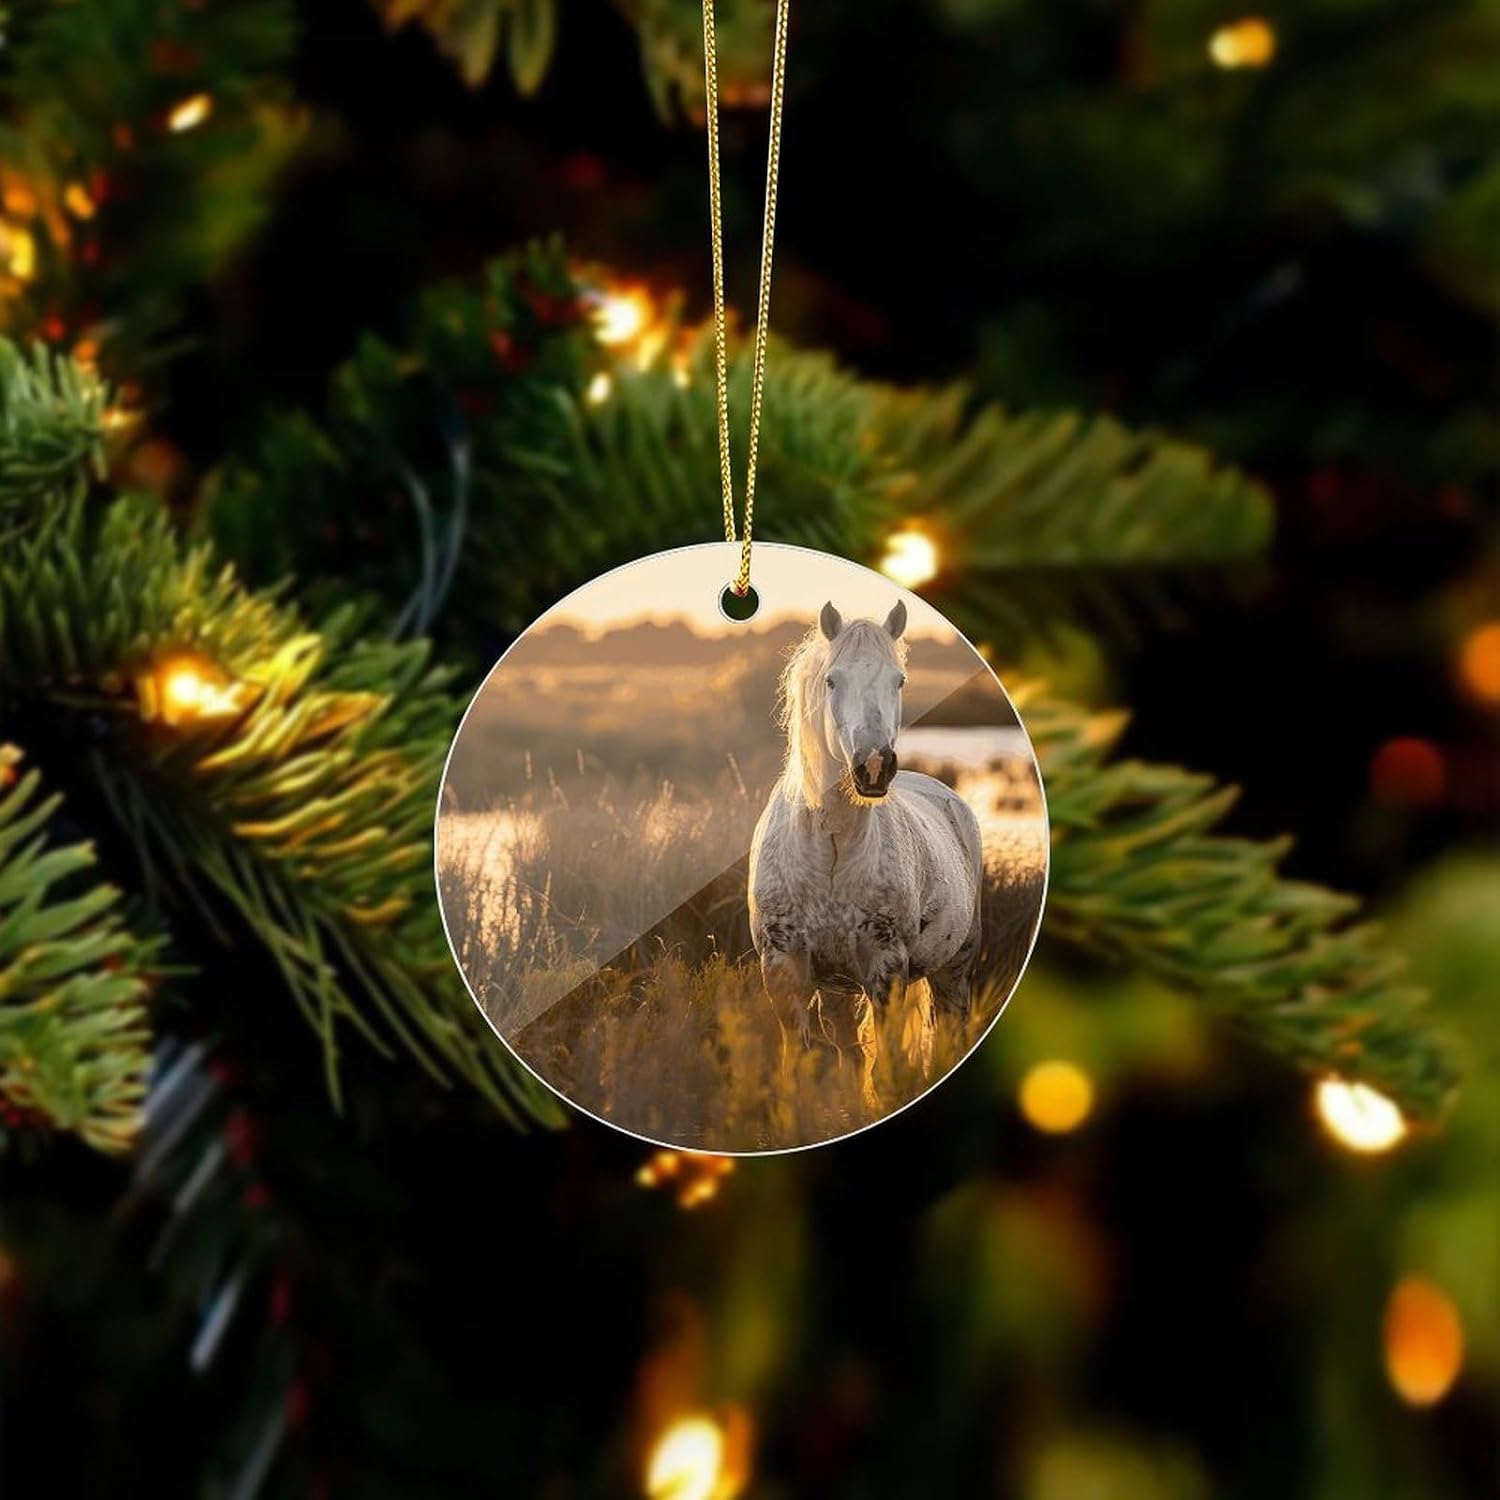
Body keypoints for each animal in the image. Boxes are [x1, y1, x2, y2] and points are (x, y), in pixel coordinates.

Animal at [747, 599, 984, 1109]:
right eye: (832, 680)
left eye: (900, 679)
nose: (873, 766)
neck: (831, 851)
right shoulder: (784, 967)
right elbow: (799, 1064)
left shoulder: (886, 969)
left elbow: (888, 1068)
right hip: (838, 987)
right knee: (849, 1052)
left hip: (954, 970)